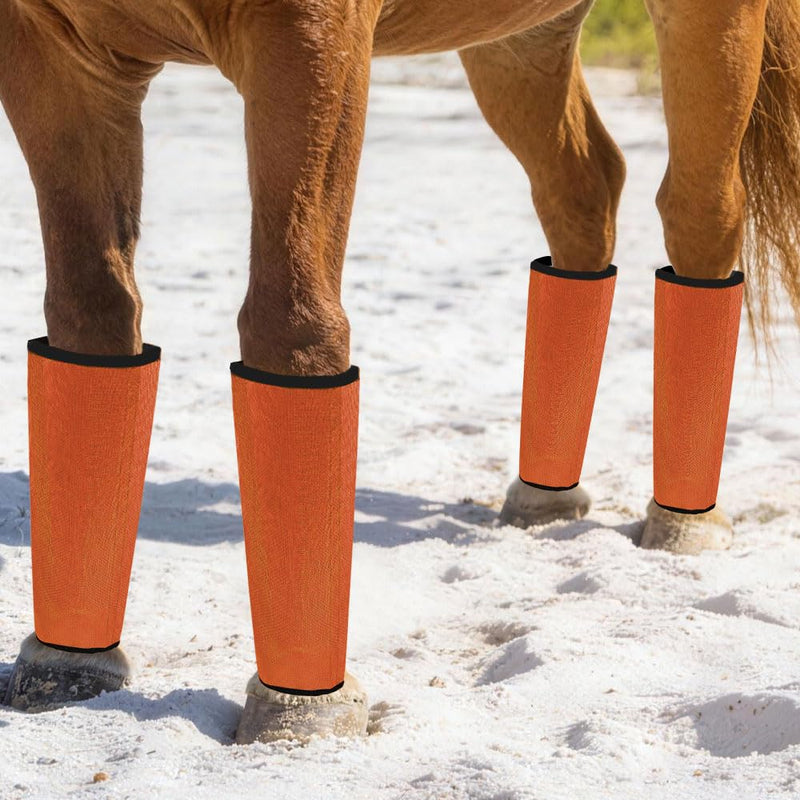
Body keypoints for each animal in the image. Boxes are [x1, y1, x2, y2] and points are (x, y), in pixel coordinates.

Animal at [1, 0, 799, 745]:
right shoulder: (59, 59)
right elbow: (91, 315)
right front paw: (72, 659)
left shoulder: (308, 45)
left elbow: (292, 323)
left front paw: (302, 706)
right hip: (518, 45)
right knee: (584, 194)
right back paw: (545, 498)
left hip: (709, 29)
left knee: (700, 213)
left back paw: (684, 520)